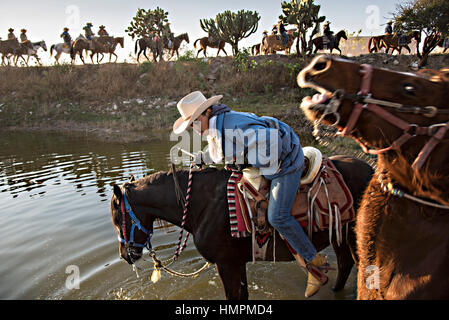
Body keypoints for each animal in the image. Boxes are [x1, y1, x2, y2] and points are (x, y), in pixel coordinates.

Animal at [110, 159, 372, 302]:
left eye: (117, 218)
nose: (125, 255)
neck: (202, 204)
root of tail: (369, 169)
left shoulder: (228, 263)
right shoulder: (233, 264)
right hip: (340, 234)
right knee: (346, 264)